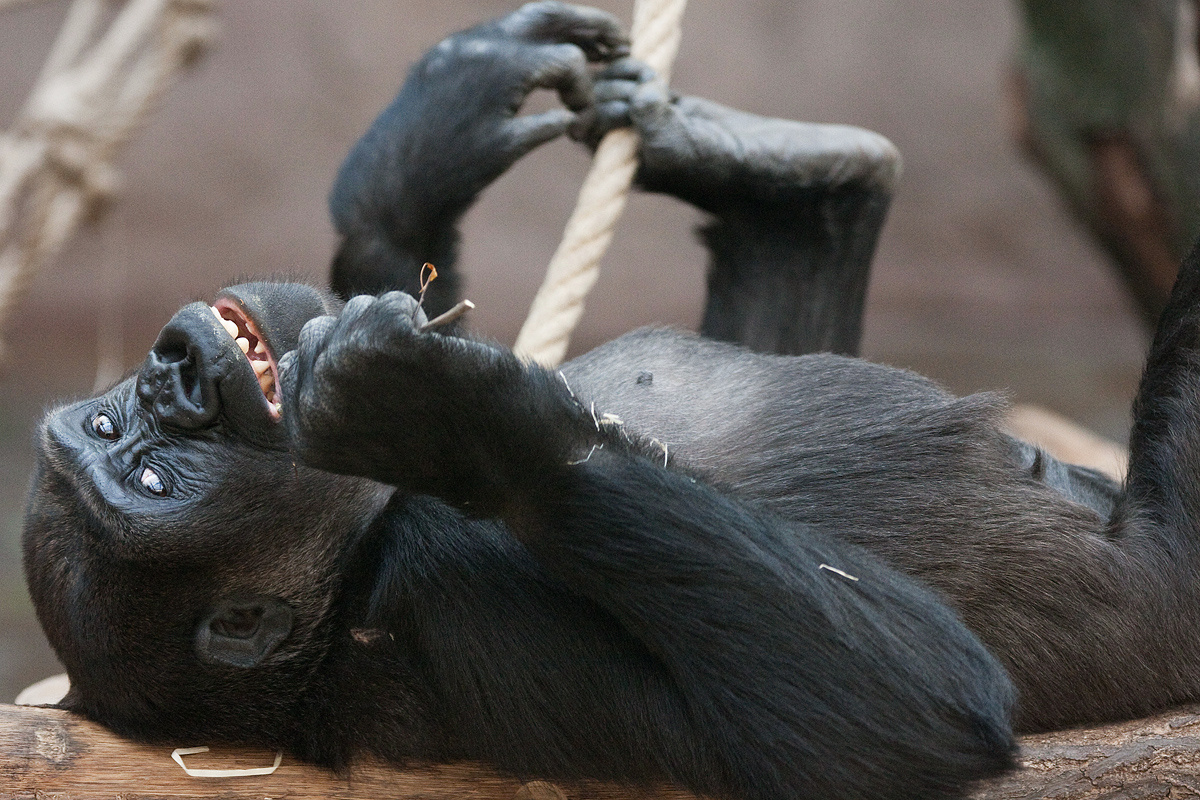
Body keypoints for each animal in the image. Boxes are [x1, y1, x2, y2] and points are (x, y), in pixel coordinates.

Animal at [21, 4, 1200, 800]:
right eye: (154, 477)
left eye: (117, 429)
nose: (170, 374)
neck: (361, 549)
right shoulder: (451, 601)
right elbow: (905, 719)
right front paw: (448, 415)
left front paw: (424, 144)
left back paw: (773, 167)